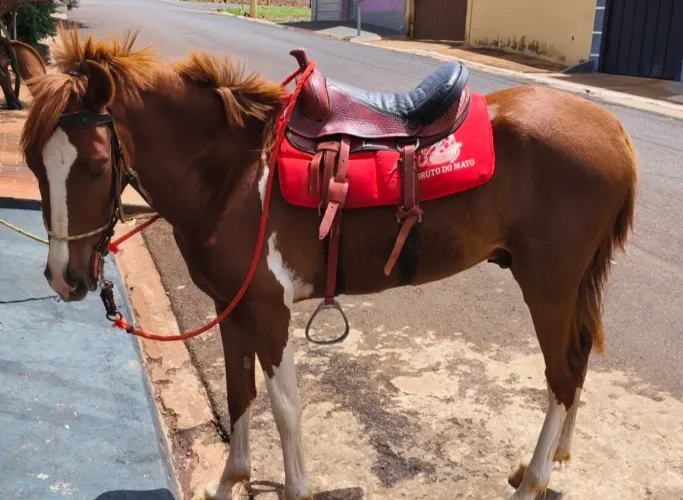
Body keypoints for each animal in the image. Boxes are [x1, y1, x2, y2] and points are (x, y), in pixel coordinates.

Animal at [16, 28, 638, 500]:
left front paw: (295, 488)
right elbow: (239, 394)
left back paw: (532, 479)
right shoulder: (230, 307)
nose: (64, 279)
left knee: (561, 374)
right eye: (33, 162)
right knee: (579, 359)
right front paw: (232, 480)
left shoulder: (269, 311)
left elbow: (285, 406)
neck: (233, 176)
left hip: (549, 286)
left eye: (97, 165)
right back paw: (552, 458)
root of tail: (614, 131)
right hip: (570, 285)